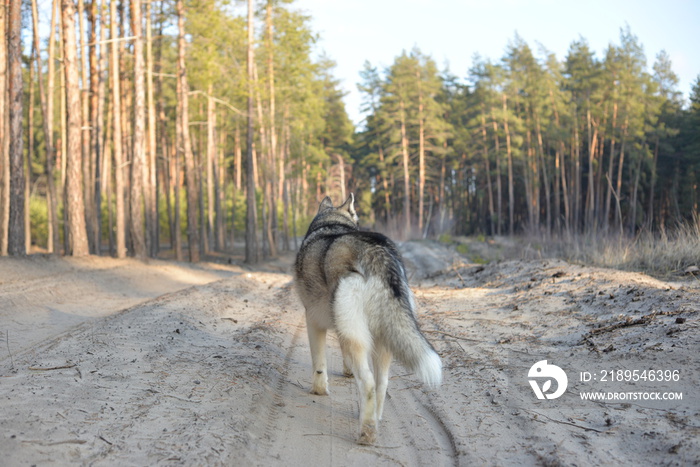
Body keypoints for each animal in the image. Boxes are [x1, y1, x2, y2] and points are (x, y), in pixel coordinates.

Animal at [292, 194, 440, 446]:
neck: (331, 223)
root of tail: (377, 253)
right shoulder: (341, 328)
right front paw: (347, 371)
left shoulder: (313, 321)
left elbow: (319, 366)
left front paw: (319, 390)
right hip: (382, 339)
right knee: (381, 384)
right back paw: (373, 418)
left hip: (358, 335)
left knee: (369, 383)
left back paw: (367, 433)